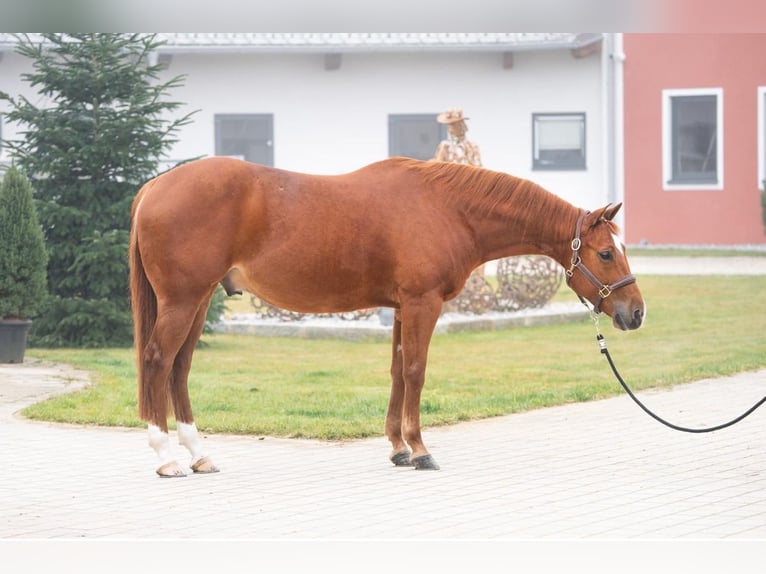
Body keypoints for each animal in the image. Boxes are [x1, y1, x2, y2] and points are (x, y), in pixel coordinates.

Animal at [129, 156, 645, 477]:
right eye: (604, 253)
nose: (635, 313)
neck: (447, 208)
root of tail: (154, 186)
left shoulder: (400, 308)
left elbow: (397, 372)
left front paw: (398, 448)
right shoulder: (422, 303)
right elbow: (416, 371)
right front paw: (420, 450)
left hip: (197, 302)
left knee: (179, 369)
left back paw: (199, 456)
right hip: (183, 301)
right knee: (157, 361)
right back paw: (167, 458)